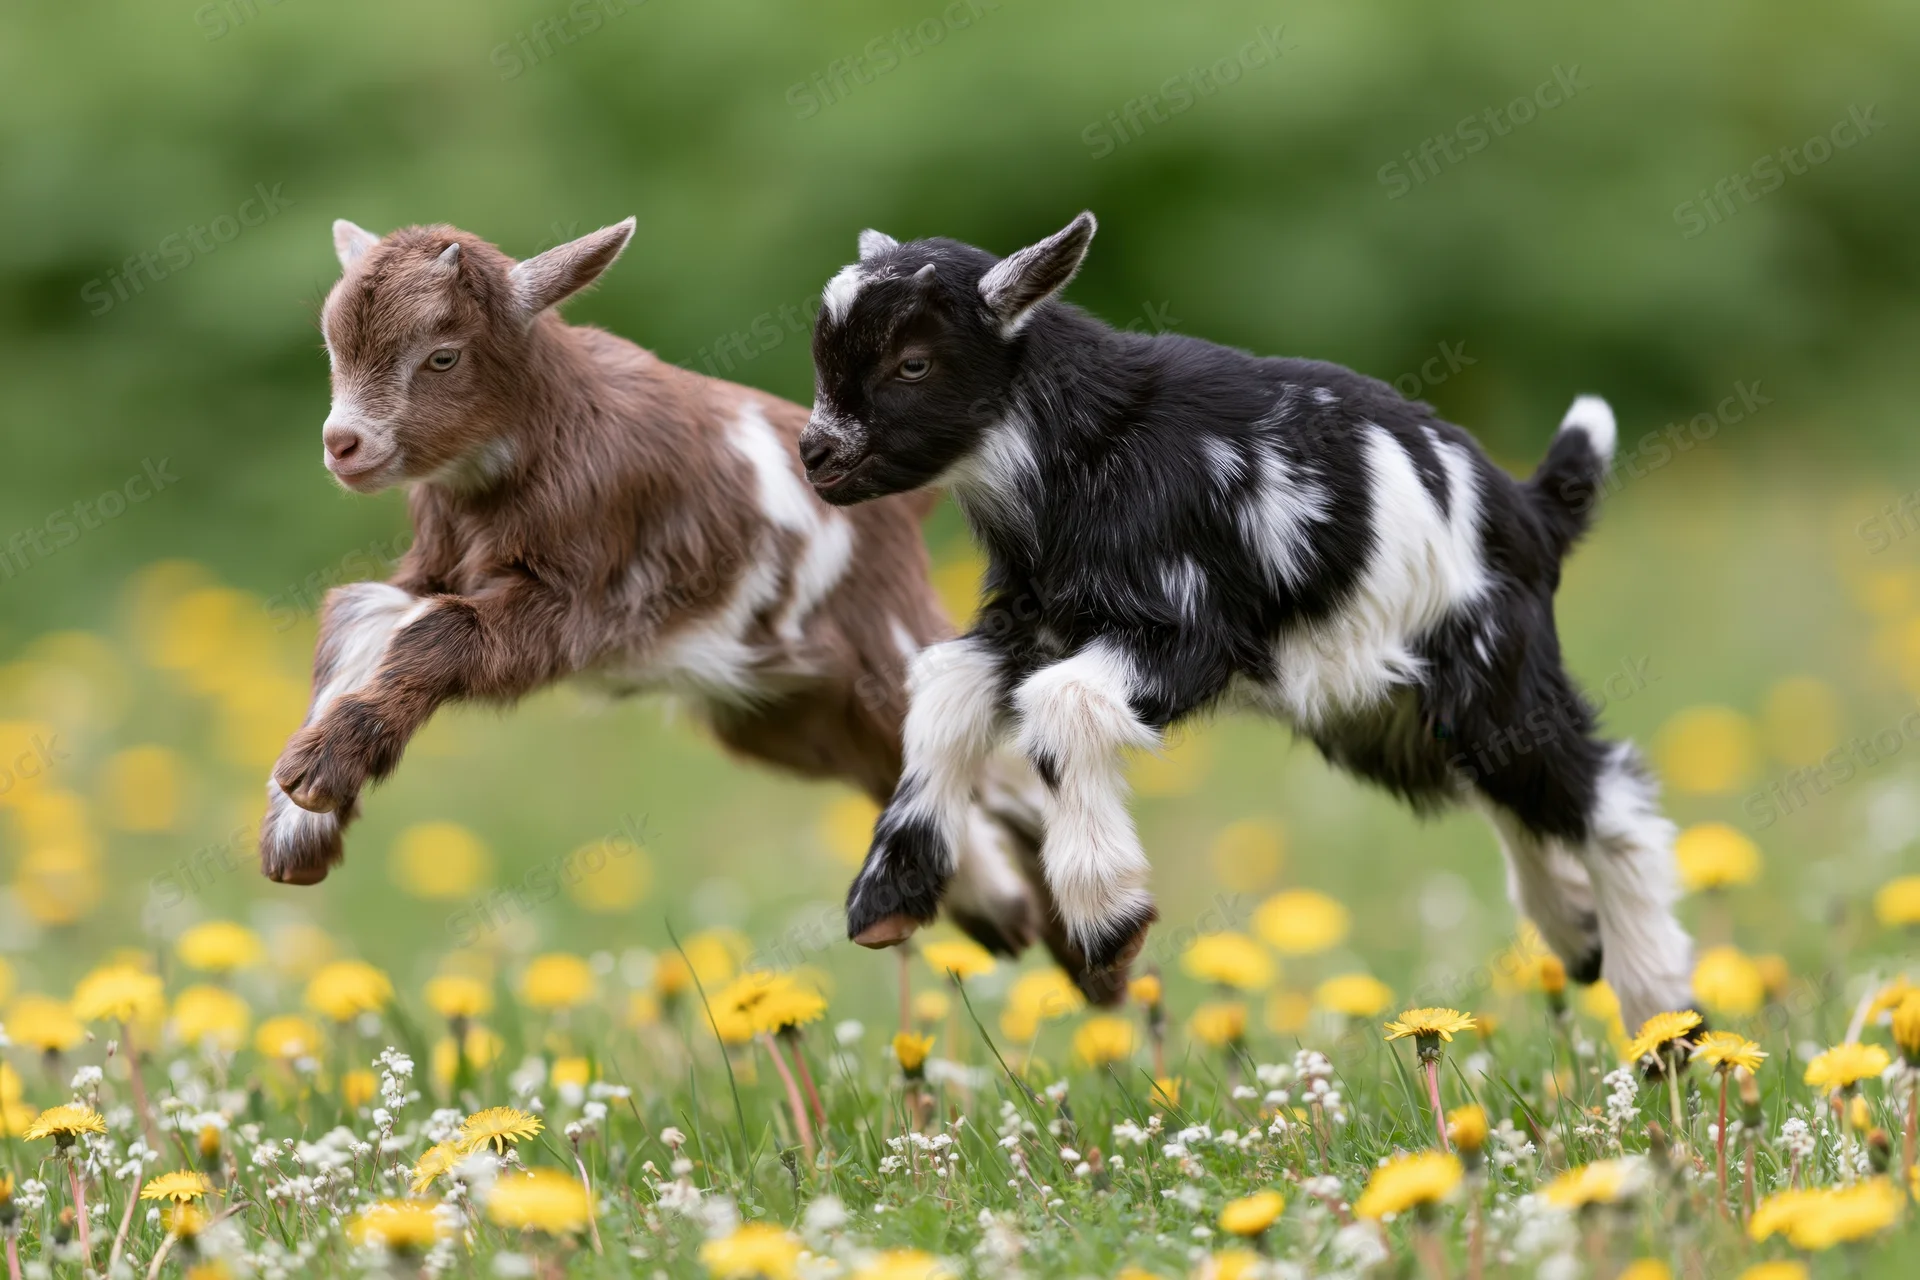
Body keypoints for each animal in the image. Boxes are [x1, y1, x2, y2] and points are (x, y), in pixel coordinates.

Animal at [259, 218, 1118, 995]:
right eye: (335, 346)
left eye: (443, 354)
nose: (345, 445)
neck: (545, 437)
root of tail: (906, 506)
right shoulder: (435, 565)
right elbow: (361, 610)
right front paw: (297, 826)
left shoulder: (572, 604)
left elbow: (437, 630)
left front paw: (321, 773)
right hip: (787, 711)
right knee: (901, 766)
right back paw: (991, 913)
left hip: (886, 645)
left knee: (997, 768)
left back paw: (1098, 962)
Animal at [798, 213, 1699, 1031]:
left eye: (913, 363)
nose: (815, 454)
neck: (1083, 450)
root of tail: (1531, 510)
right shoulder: (1035, 624)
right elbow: (944, 686)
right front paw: (888, 893)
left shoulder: (1188, 632)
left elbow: (1062, 703)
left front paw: (1108, 922)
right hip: (1394, 714)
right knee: (1518, 799)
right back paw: (1578, 930)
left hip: (1491, 673)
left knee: (1605, 799)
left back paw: (1662, 1011)